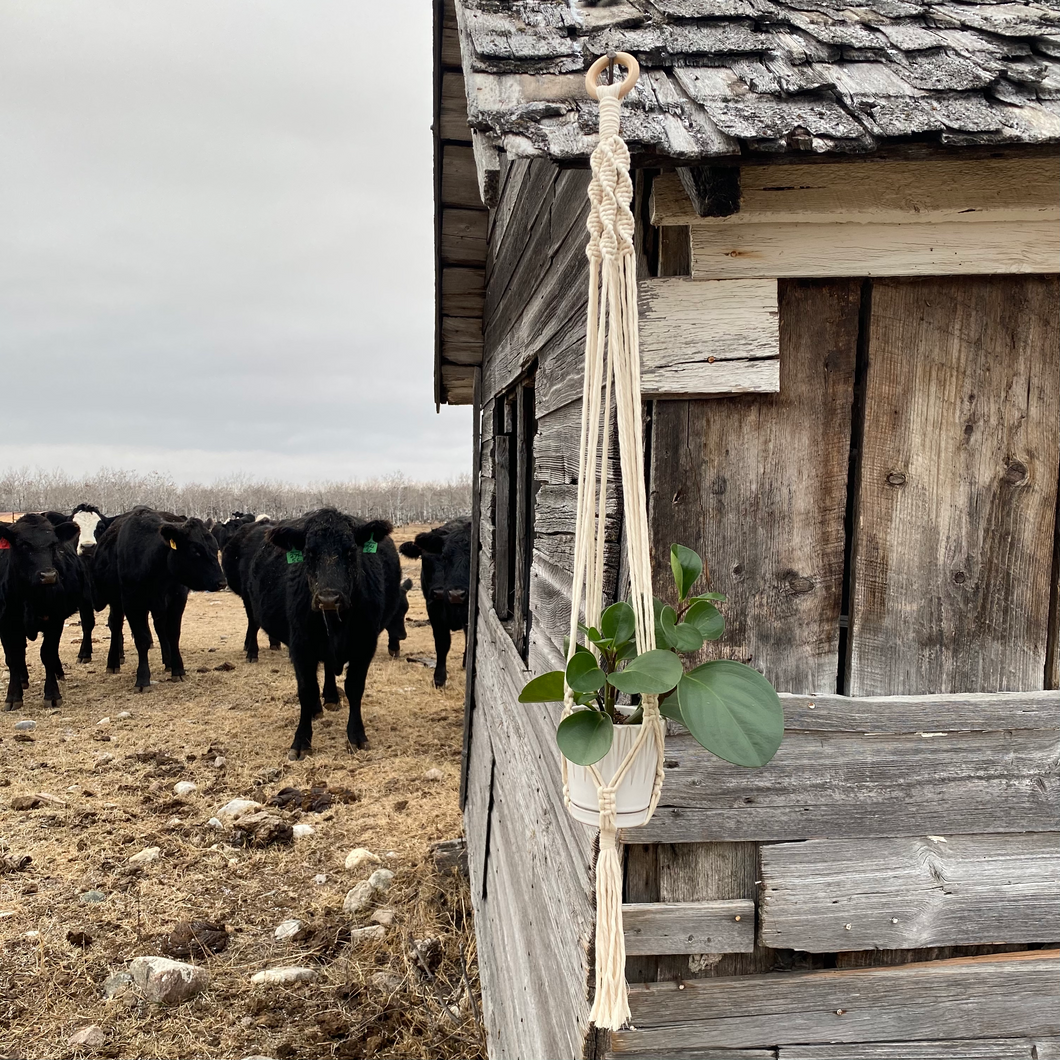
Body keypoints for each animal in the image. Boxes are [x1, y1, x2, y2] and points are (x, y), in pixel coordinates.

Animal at [0, 515, 83, 708]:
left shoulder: (55, 621)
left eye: (53, 545)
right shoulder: (6, 624)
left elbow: (48, 654)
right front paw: (13, 697)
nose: (49, 576)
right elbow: (12, 657)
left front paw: (52, 695)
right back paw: (23, 679)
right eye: (23, 545)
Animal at [91, 510, 225, 691]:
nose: (221, 582)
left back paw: (168, 661)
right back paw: (113, 662)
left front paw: (178, 669)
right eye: (195, 550)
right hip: (117, 602)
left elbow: (173, 633)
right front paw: (142, 679)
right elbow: (142, 639)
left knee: (159, 627)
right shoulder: (132, 603)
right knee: (115, 624)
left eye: (215, 547)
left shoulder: (177, 599)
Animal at [245, 508, 402, 758]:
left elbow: (354, 688)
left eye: (351, 551)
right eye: (309, 552)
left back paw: (330, 698)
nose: (328, 598)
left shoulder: (365, 646)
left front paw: (357, 736)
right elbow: (306, 690)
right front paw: (301, 741)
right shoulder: (300, 648)